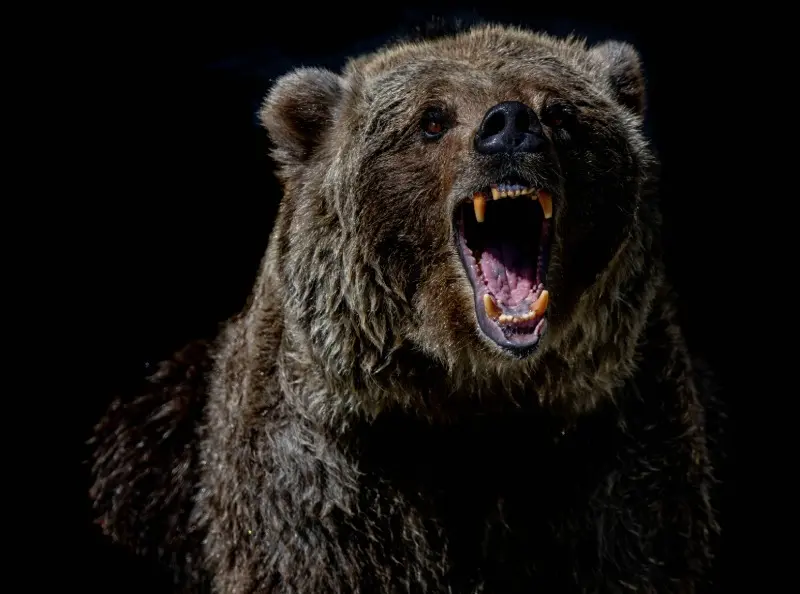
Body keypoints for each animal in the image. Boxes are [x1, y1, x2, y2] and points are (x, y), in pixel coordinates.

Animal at [89, 23, 722, 593]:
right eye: (432, 119)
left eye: (562, 113)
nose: (511, 125)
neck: (472, 394)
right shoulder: (326, 476)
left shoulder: (614, 451)